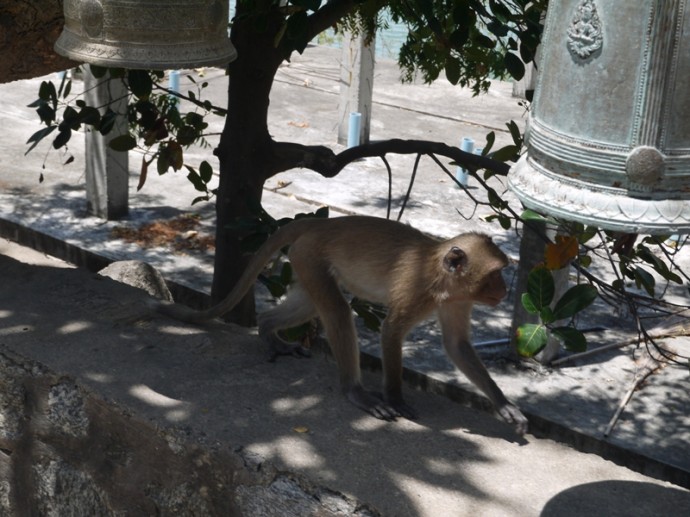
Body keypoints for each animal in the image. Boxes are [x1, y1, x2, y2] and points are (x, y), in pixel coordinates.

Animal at [155, 214, 528, 436]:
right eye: (496, 274)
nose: (504, 290)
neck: (441, 277)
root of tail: (319, 224)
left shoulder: (459, 299)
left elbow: (457, 346)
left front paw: (504, 406)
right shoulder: (418, 290)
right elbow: (391, 331)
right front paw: (395, 398)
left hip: (303, 260)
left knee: (309, 303)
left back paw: (268, 330)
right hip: (309, 255)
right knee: (336, 311)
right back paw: (355, 391)